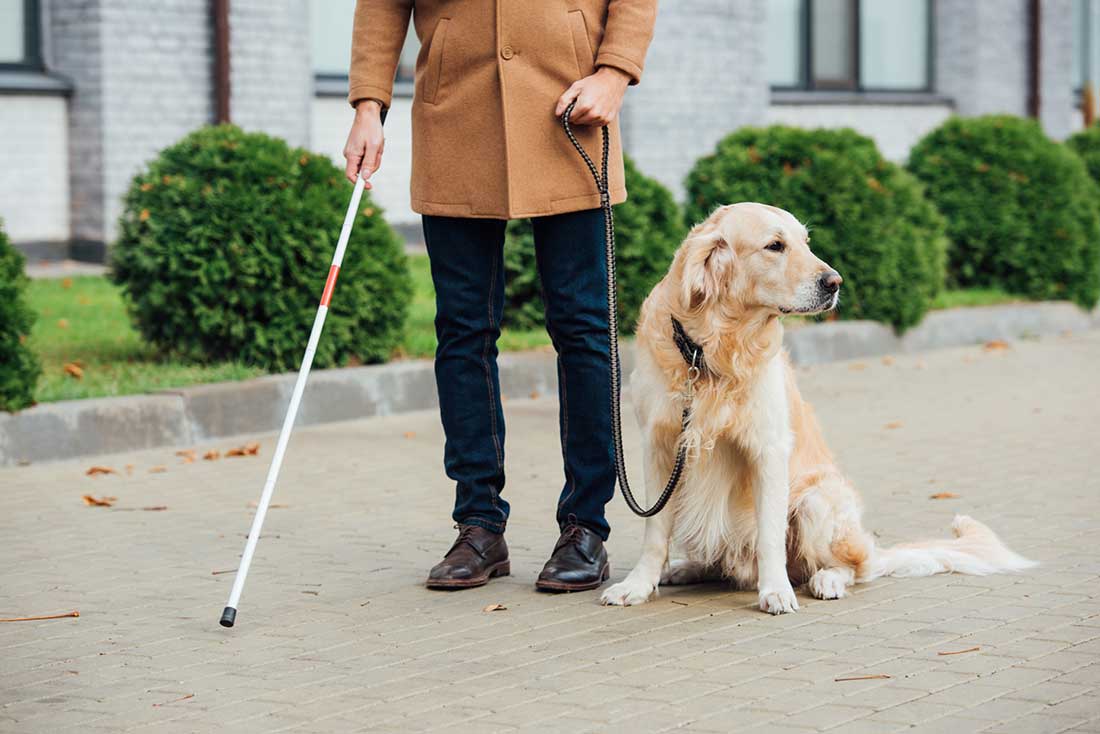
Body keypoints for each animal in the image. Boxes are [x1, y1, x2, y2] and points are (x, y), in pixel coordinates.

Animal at [598, 202, 1034, 616]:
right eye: (775, 246)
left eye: (806, 242)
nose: (835, 282)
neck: (710, 350)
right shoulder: (659, 446)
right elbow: (655, 533)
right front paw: (638, 585)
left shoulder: (768, 448)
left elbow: (769, 536)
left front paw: (775, 592)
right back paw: (684, 569)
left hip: (817, 500)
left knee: (852, 567)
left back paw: (826, 580)